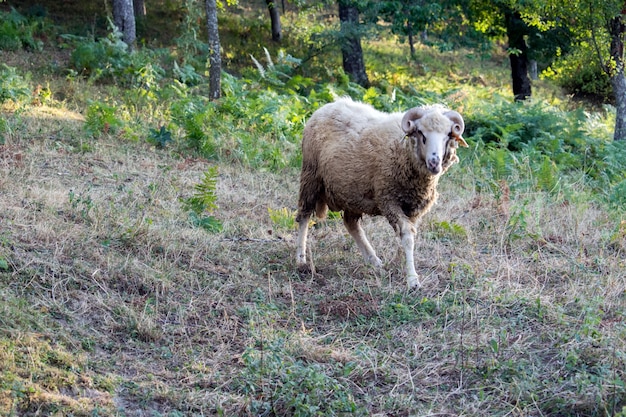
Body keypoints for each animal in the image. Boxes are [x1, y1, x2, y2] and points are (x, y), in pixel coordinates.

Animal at [294, 96, 466, 290]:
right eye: (421, 134)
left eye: (448, 135)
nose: (435, 163)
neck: (404, 150)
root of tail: (329, 105)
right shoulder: (388, 200)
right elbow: (407, 236)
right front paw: (412, 279)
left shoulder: (413, 208)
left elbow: (408, 236)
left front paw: (400, 262)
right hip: (311, 176)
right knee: (304, 216)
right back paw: (301, 260)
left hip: (353, 193)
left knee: (351, 224)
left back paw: (374, 260)